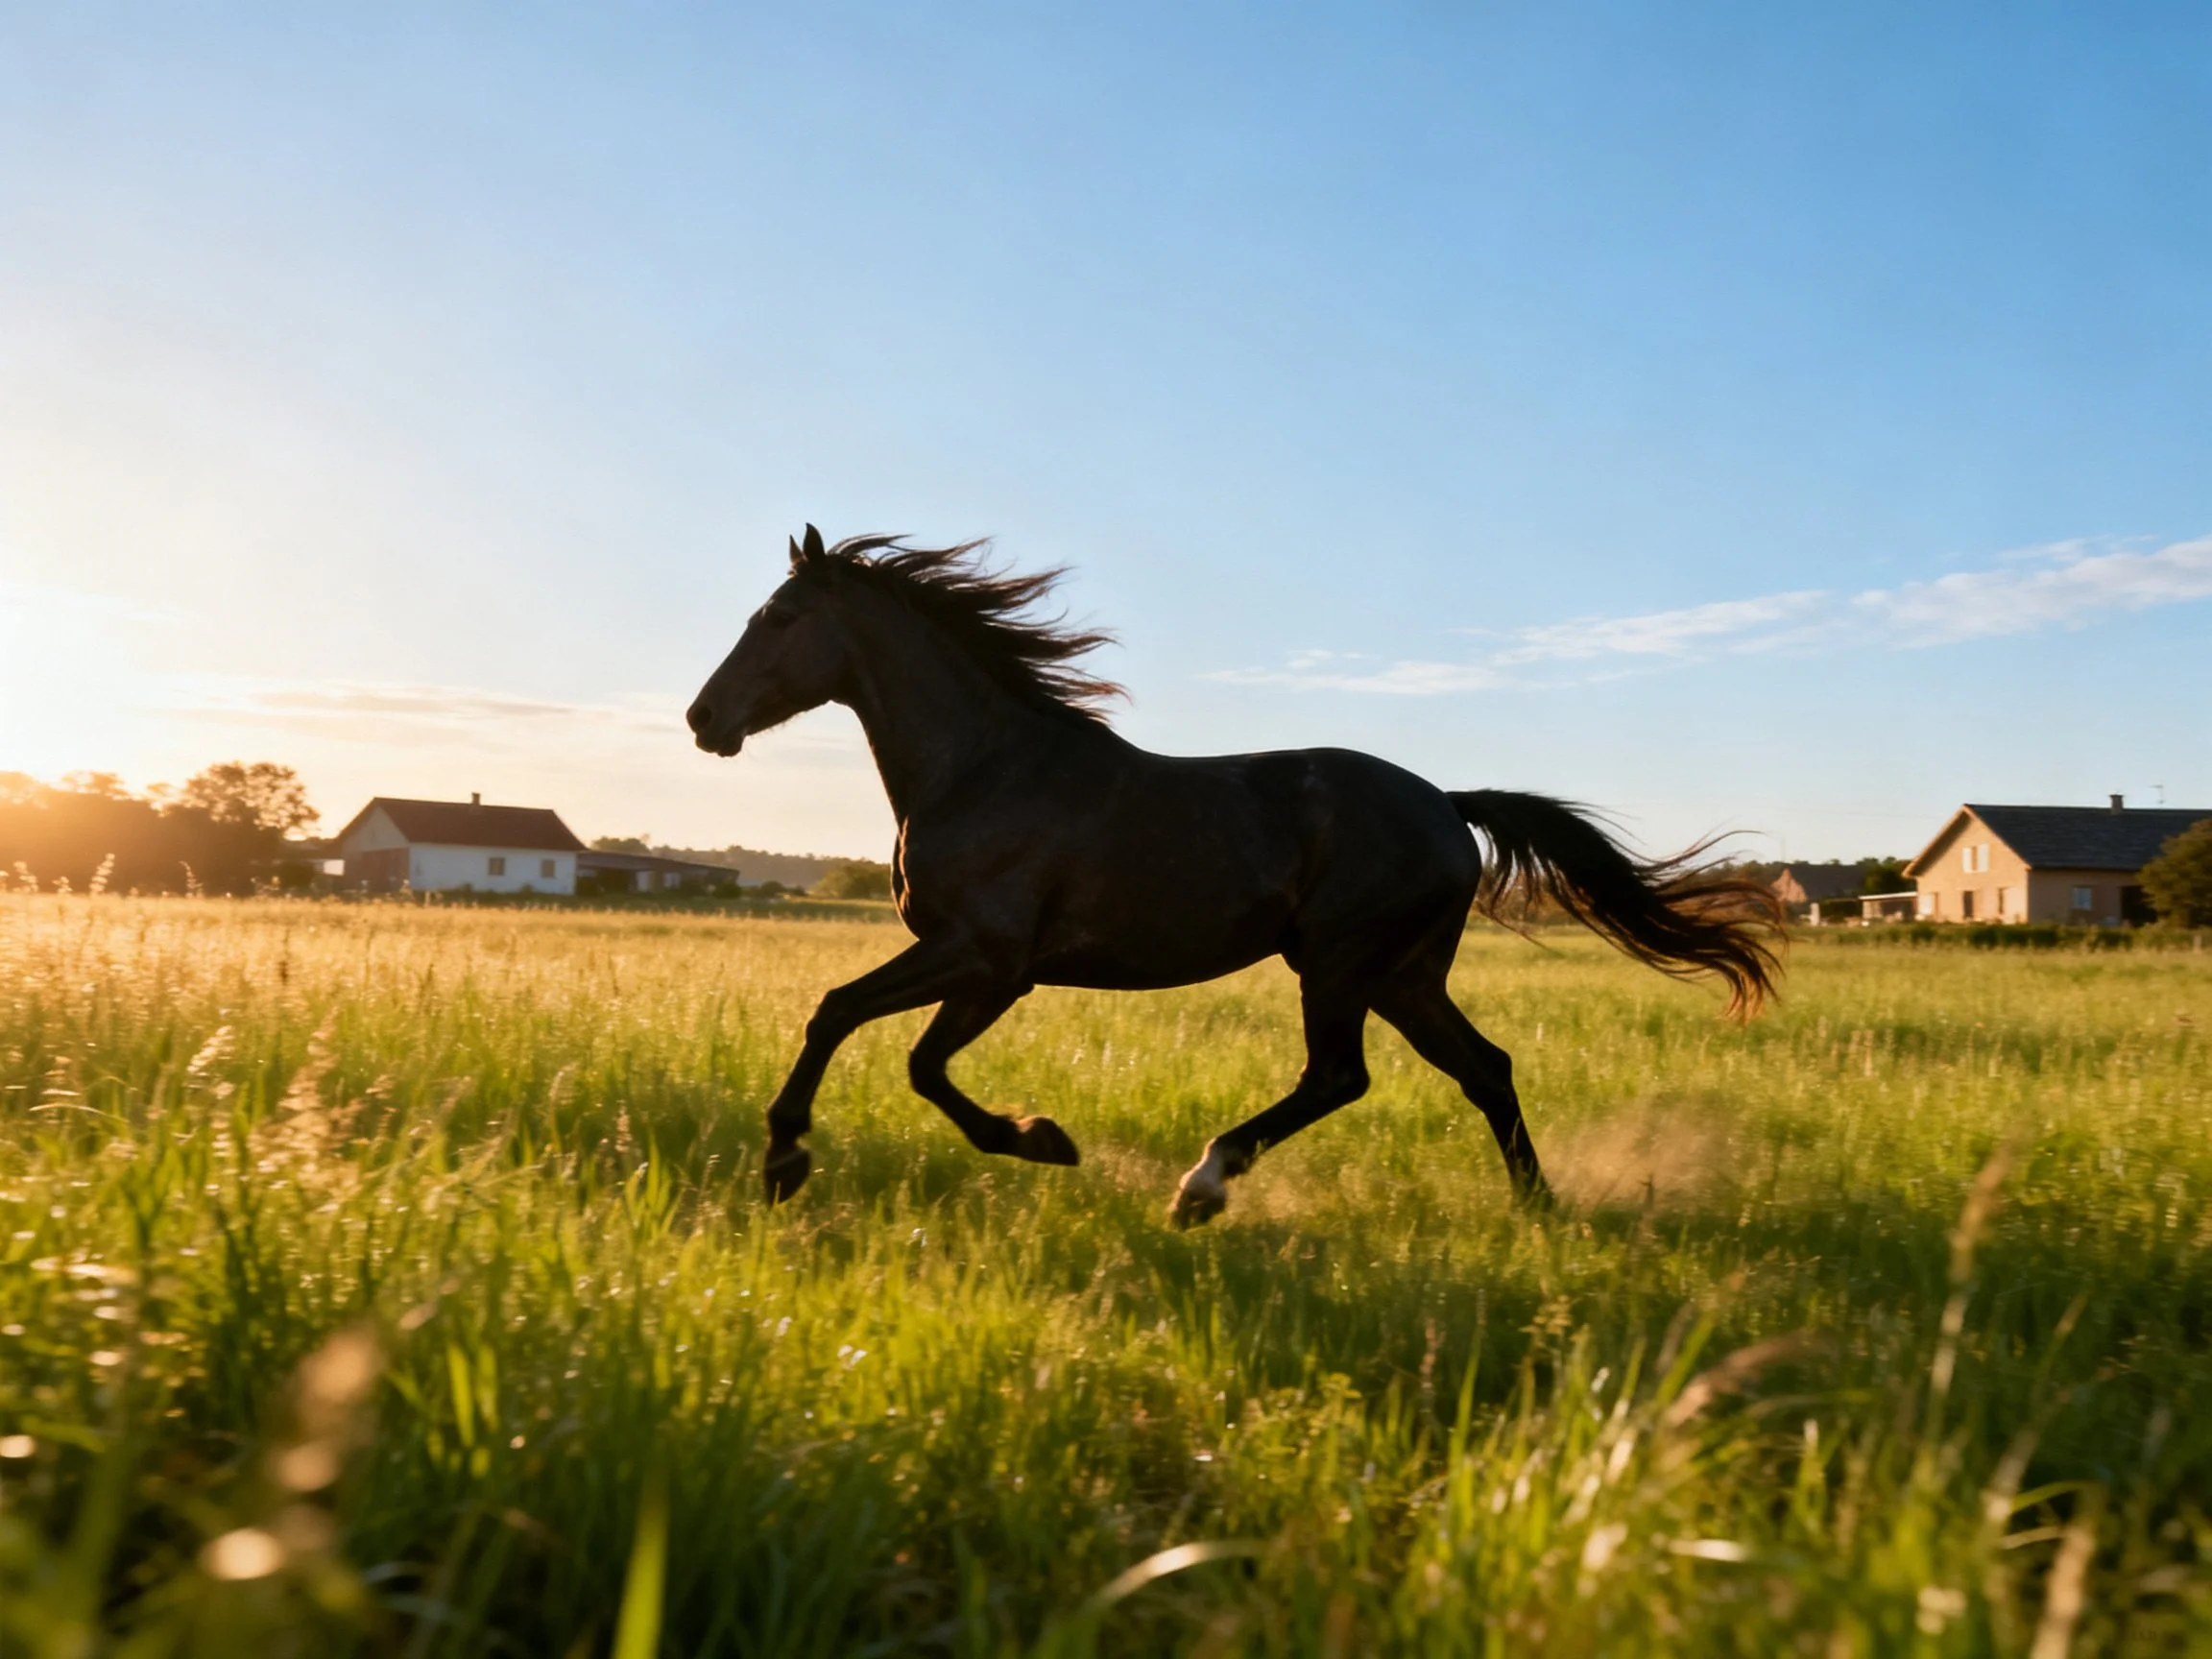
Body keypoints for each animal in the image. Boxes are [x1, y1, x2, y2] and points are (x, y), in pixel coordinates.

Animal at [687, 526, 1782, 1227]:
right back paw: (1538, 1208)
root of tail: (1446, 802)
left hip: (1340, 964)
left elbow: (867, 1031)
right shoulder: (975, 964)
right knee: (1486, 1068)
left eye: (778, 616)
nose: (704, 720)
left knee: (1340, 1077)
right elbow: (885, 1041)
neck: (984, 767)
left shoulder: (989, 961)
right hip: (1403, 976)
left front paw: (796, 1159)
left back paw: (1202, 1186)